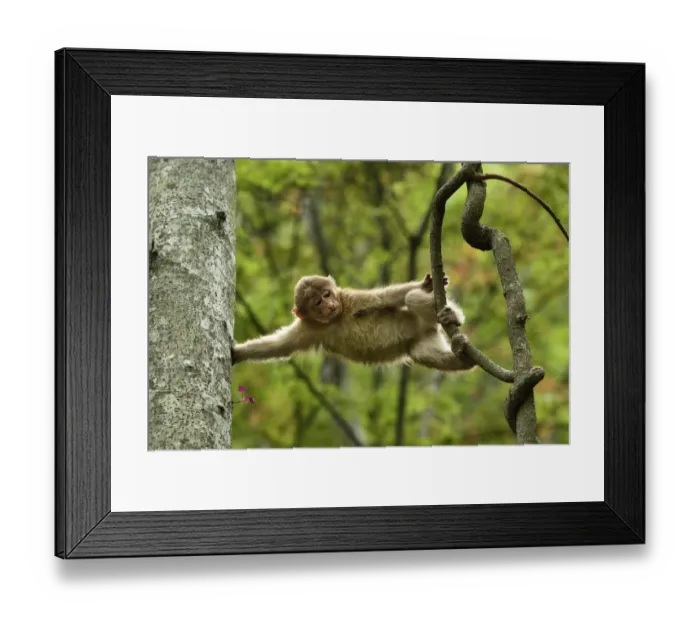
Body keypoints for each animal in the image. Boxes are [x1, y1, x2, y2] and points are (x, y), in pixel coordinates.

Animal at [232, 273, 477, 373]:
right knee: (420, 353)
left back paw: (452, 316)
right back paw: (463, 358)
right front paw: (237, 353)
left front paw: (426, 284)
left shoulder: (350, 299)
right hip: (424, 338)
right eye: (317, 302)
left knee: (410, 299)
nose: (328, 305)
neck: (334, 319)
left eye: (327, 294)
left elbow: (386, 297)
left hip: (423, 320)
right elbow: (278, 346)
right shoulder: (308, 328)